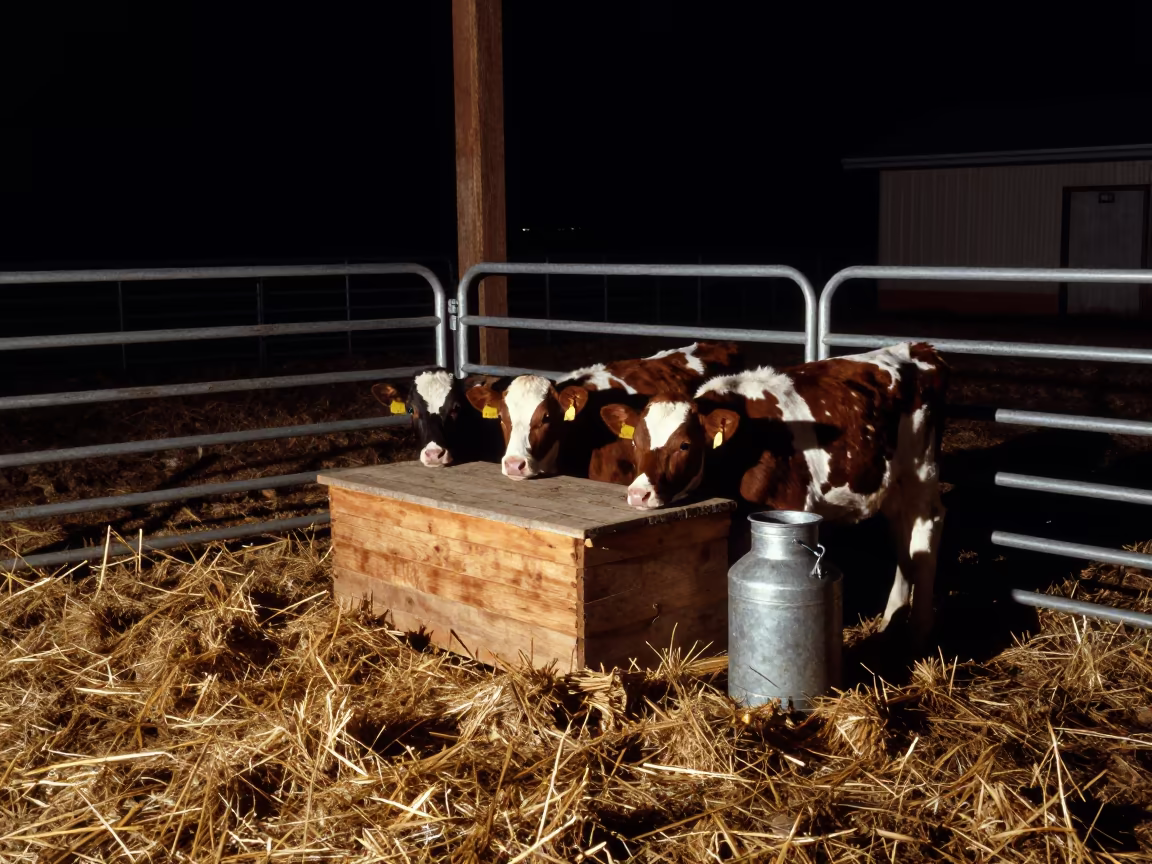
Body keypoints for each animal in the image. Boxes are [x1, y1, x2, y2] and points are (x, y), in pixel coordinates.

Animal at [597, 342, 949, 646]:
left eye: (684, 444)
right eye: (635, 441)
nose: (639, 494)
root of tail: (919, 348)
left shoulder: (792, 504)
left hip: (921, 470)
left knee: (926, 528)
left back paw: (919, 629)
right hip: (891, 483)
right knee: (903, 534)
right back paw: (892, 617)